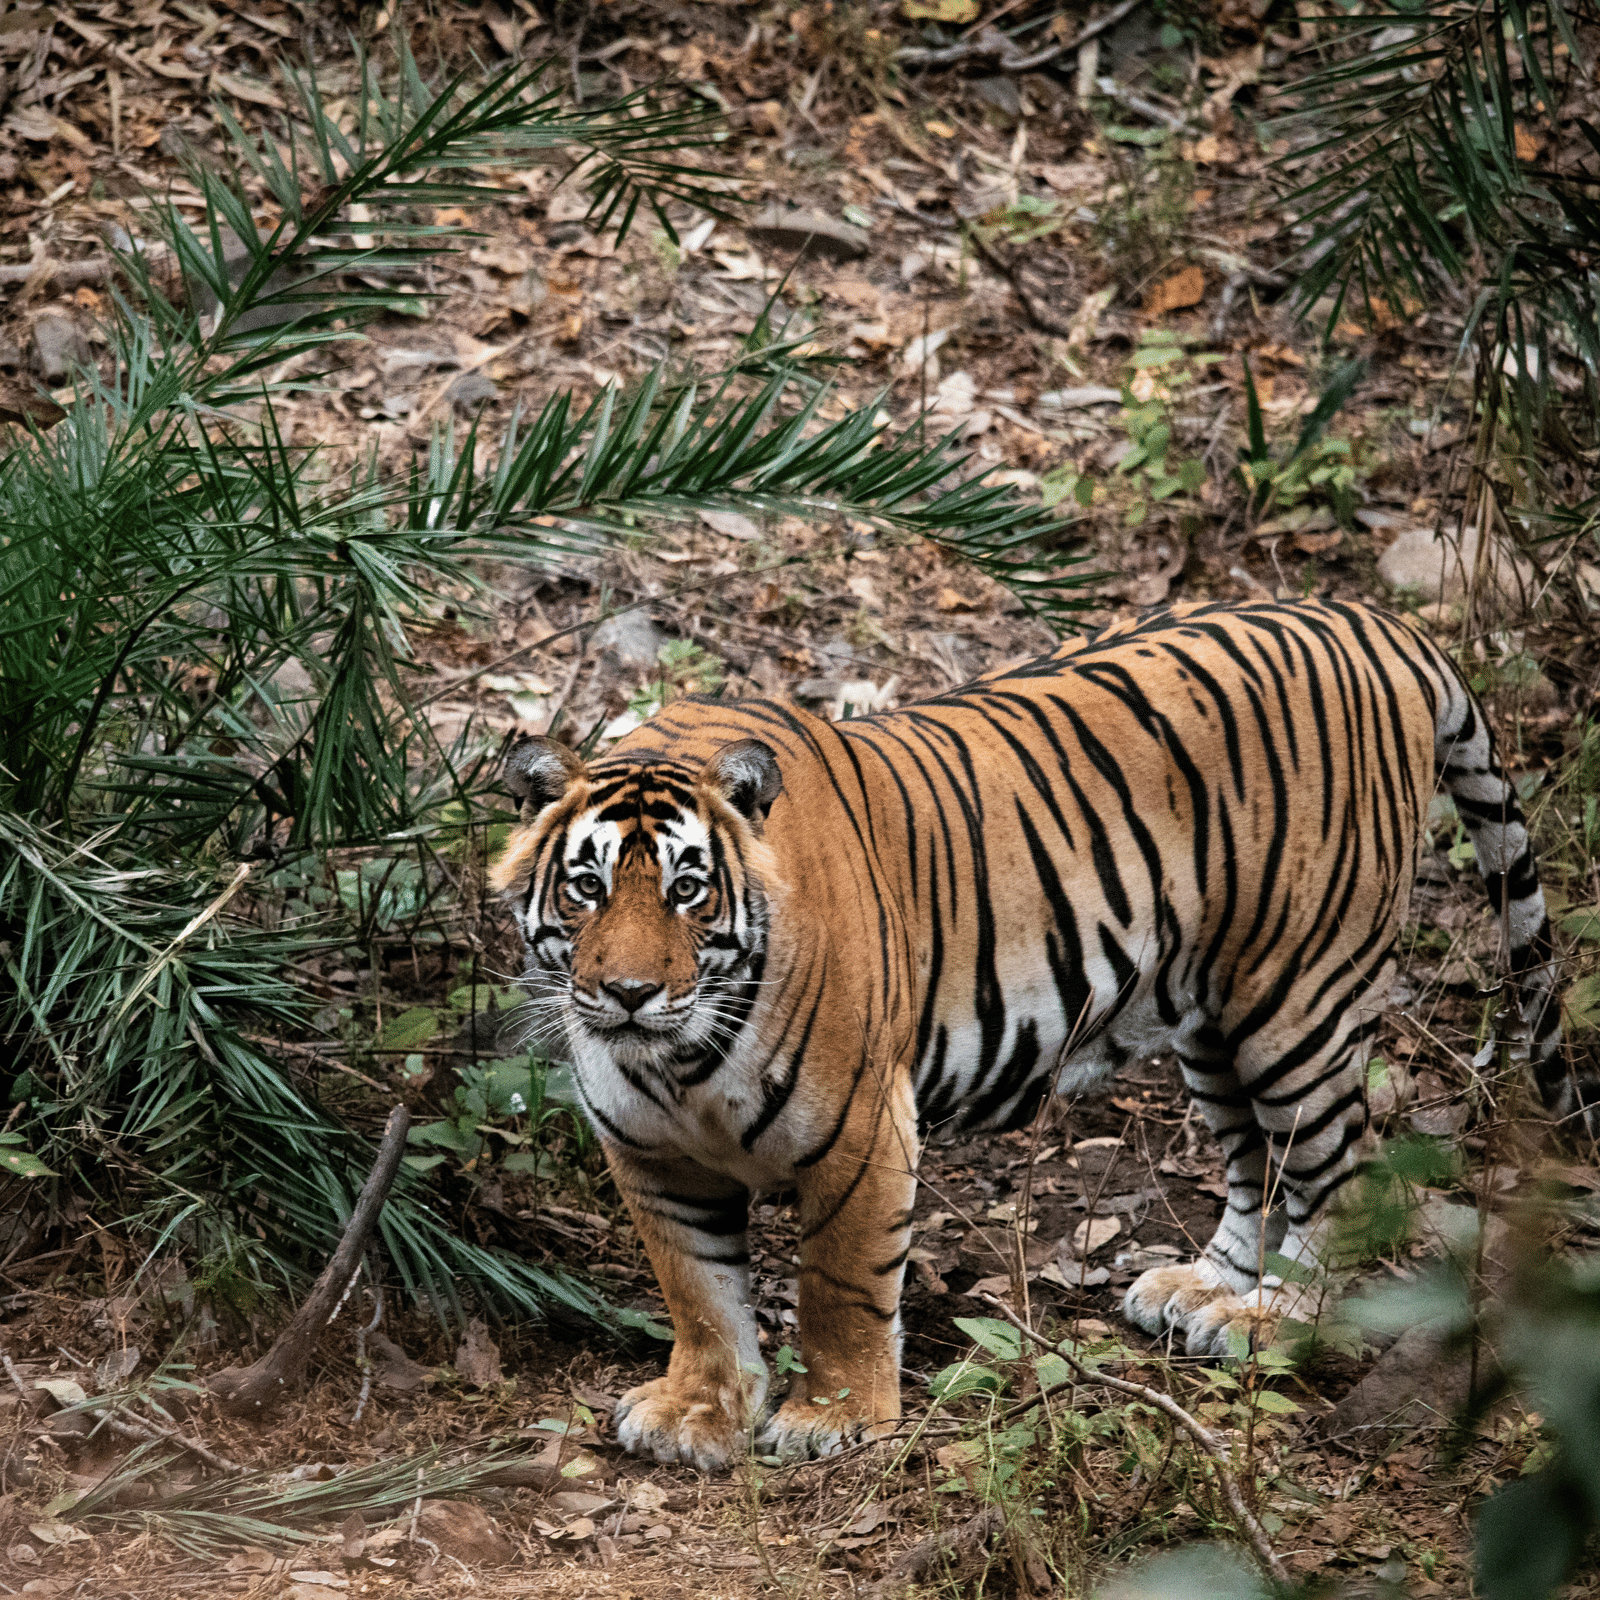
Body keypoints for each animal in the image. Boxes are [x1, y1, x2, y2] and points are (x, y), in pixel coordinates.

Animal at [491, 597, 1578, 1471]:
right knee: (1250, 1159)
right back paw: (1203, 1290)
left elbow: (838, 1283)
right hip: (1212, 1016)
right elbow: (700, 1294)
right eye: (586, 887)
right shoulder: (650, 1156)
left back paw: (1273, 1316)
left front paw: (833, 1419)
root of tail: (1371, 620)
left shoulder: (860, 1132)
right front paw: (699, 1411)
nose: (628, 992)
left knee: (1332, 1165)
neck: (677, 1062)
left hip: (1296, 999)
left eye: (687, 888)